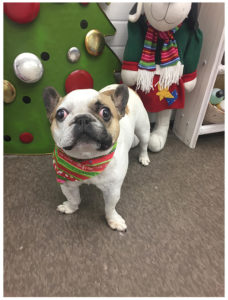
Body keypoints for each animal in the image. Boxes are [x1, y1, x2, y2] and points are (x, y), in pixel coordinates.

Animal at [43, 84, 151, 232]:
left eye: (105, 113)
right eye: (60, 114)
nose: (82, 118)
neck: (88, 161)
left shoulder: (112, 190)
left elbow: (110, 208)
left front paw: (113, 220)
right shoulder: (67, 184)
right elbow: (73, 199)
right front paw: (70, 208)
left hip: (143, 128)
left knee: (144, 143)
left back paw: (144, 157)